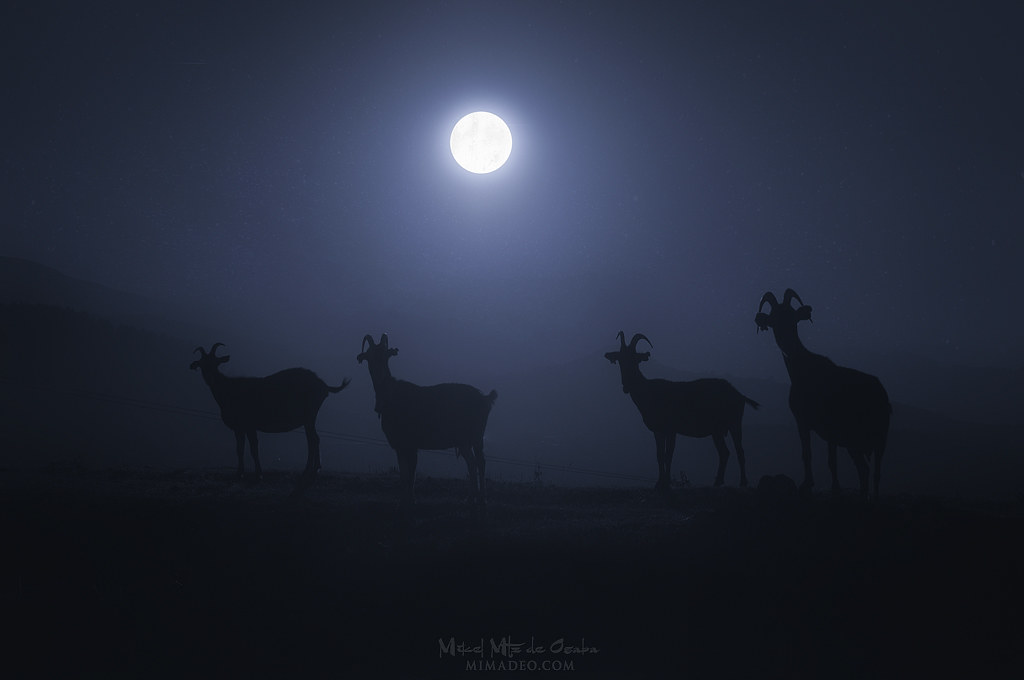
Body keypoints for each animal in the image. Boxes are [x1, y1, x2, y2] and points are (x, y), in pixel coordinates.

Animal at [190, 343, 351, 480]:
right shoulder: (239, 428)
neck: (228, 390)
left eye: (216, 363)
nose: (210, 377)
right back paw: (312, 469)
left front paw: (259, 474)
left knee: (313, 439)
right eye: (202, 364)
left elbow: (254, 448)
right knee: (313, 439)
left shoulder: (250, 424)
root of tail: (324, 385)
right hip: (309, 417)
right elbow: (239, 449)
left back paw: (310, 470)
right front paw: (239, 473)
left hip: (310, 415)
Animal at [356, 333, 497, 508]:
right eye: (370, 355)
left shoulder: (410, 443)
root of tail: (486, 398)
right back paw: (471, 497)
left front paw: (410, 499)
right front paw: (404, 499)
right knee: (472, 463)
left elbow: (411, 472)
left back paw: (482, 498)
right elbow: (404, 472)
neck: (390, 395)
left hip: (477, 436)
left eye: (385, 354)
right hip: (464, 441)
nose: (379, 372)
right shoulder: (400, 444)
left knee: (480, 462)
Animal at [604, 331, 759, 491]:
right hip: (716, 430)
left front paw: (666, 482)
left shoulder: (672, 428)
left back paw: (743, 482)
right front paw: (659, 483)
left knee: (739, 451)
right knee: (725, 452)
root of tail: (739, 395)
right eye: (620, 360)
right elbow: (659, 455)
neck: (649, 391)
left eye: (635, 360)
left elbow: (668, 455)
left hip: (735, 422)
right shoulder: (658, 430)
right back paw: (717, 482)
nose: (626, 387)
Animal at [755, 289, 891, 498]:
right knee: (867, 470)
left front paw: (833, 487)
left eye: (793, 318)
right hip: (861, 442)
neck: (804, 372)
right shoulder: (803, 422)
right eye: (774, 320)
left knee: (873, 471)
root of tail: (882, 394)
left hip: (875, 436)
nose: (786, 343)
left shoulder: (831, 425)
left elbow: (831, 460)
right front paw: (807, 484)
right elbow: (807, 454)